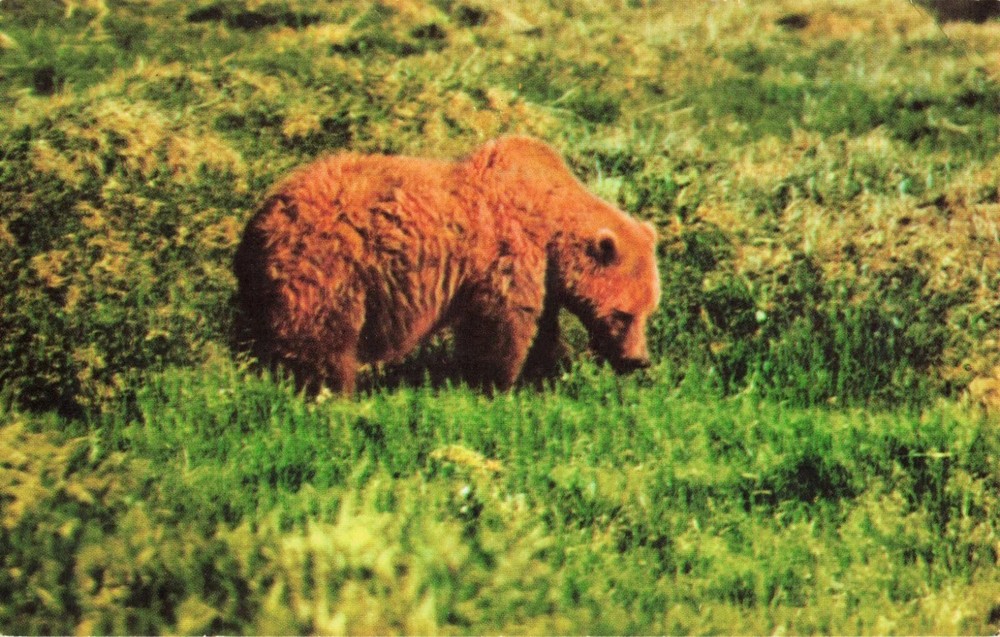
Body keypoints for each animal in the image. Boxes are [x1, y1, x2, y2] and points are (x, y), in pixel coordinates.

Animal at [233, 136, 660, 394]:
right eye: (622, 314)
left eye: (649, 311)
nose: (637, 360)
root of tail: (260, 220)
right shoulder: (507, 253)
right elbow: (501, 327)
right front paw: (495, 384)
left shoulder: (545, 278)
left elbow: (542, 328)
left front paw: (545, 373)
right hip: (328, 263)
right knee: (322, 339)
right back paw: (329, 391)